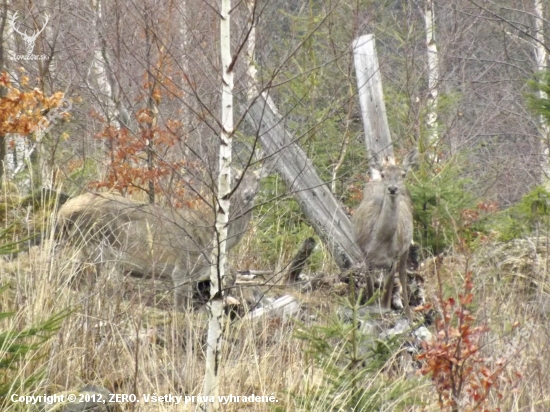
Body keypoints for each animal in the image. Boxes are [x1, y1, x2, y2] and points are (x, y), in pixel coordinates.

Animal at [58, 171, 264, 308]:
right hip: (95, 247)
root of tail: (63, 211)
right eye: (237, 179)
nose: (248, 194)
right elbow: (180, 309)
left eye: (258, 179)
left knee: (72, 282)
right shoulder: (183, 269)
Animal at [354, 150, 418, 320]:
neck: (380, 242)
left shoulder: (393, 259)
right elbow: (370, 291)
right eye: (383, 174)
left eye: (403, 174)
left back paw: (408, 314)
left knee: (402, 274)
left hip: (406, 247)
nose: (393, 188)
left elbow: (386, 298)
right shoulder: (365, 256)